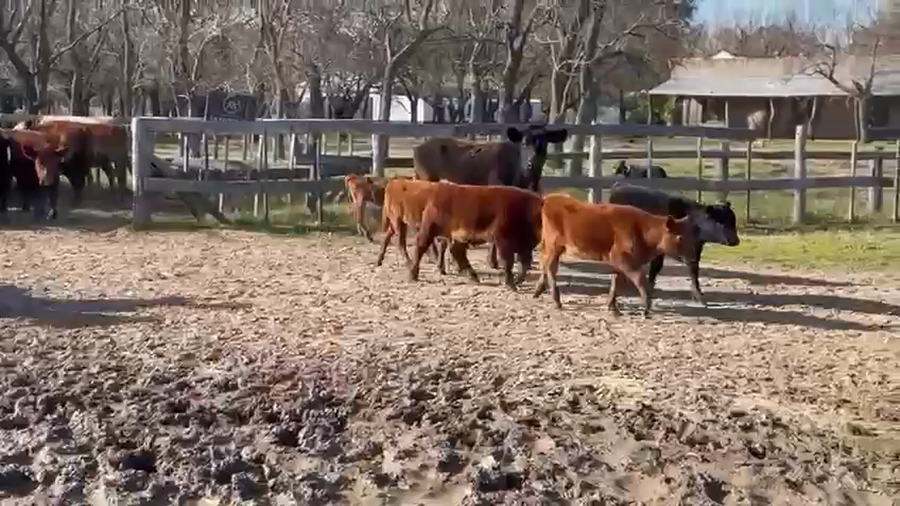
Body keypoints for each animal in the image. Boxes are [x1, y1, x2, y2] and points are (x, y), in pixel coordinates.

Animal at [408, 182, 544, 290]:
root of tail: (442, 187)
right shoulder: (503, 240)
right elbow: (508, 262)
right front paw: (511, 285)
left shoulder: (525, 246)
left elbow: (525, 264)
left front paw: (517, 281)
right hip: (429, 229)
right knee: (420, 246)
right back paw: (412, 275)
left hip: (458, 237)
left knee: (457, 252)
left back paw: (474, 277)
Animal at [533, 193, 731, 317]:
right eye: (680, 237)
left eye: (691, 236)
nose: (693, 258)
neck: (642, 229)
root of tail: (550, 198)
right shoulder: (623, 259)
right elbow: (640, 280)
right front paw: (646, 308)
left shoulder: (619, 264)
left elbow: (616, 282)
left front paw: (612, 307)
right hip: (554, 245)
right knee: (550, 267)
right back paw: (556, 300)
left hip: (553, 247)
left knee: (545, 264)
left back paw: (539, 291)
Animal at [608, 183, 740, 305]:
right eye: (719, 222)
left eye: (733, 221)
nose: (735, 240)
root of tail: (619, 186)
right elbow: (656, 267)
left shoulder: (694, 251)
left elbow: (694, 270)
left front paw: (699, 296)